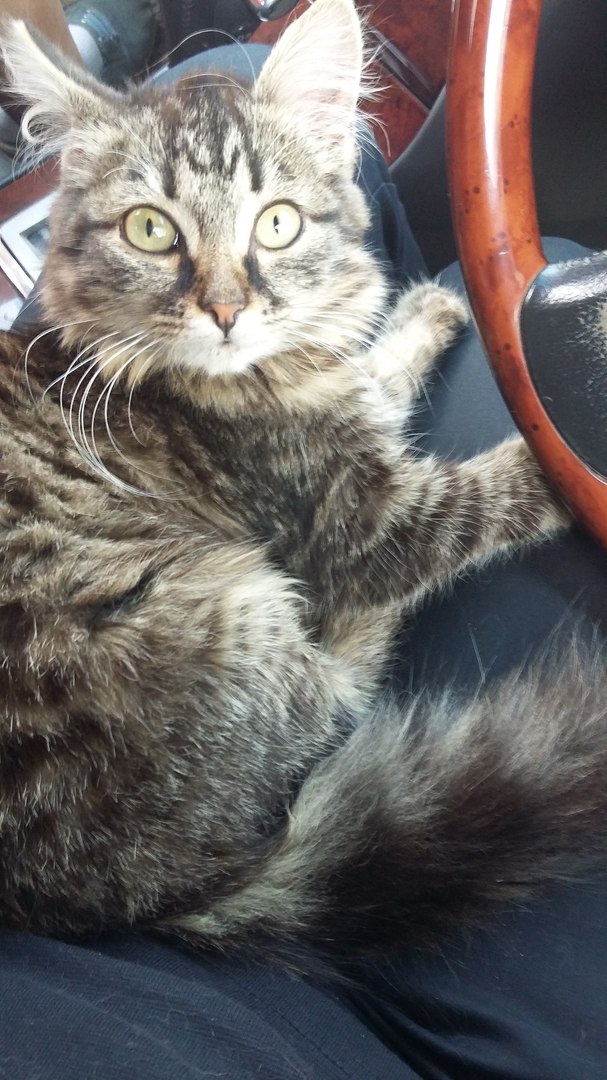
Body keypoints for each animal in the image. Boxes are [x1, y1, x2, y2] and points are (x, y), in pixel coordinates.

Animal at [0, 0, 606, 976]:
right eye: (151, 231)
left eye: (277, 224)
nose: (226, 309)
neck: (254, 378)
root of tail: (132, 901)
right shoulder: (360, 526)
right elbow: (478, 499)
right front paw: (552, 446)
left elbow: (377, 377)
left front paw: (424, 311)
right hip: (220, 604)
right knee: (337, 687)